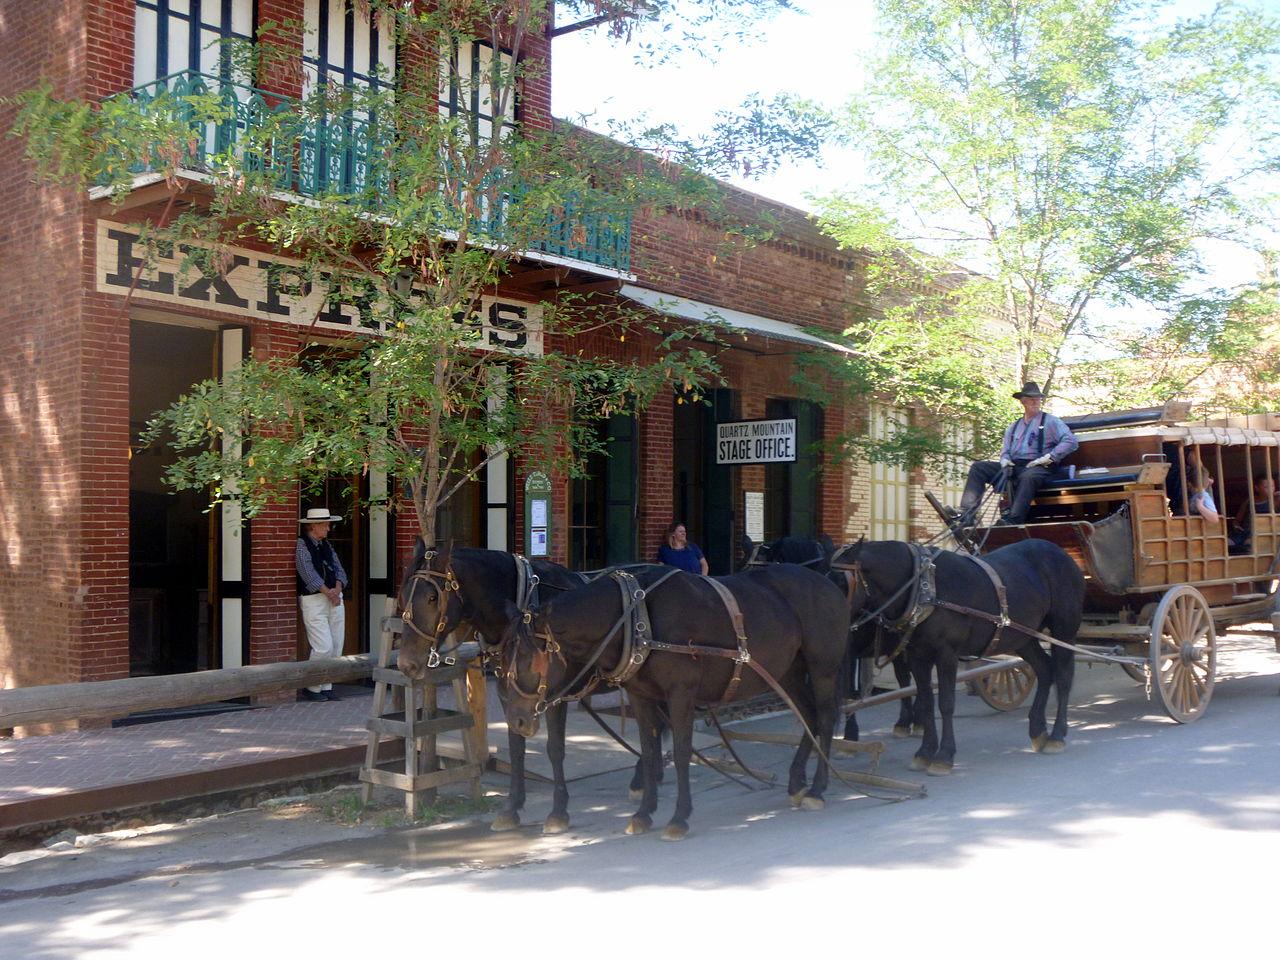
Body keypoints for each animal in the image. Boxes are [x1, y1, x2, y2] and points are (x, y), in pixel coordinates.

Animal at [399, 545, 604, 839]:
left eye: (431, 597)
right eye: (404, 596)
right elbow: (516, 746)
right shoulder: (510, 694)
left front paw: (558, 813)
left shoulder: (554, 695)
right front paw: (511, 809)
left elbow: (555, 748)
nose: (406, 663)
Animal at [499, 563, 849, 839]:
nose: (516, 720)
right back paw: (796, 782)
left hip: (823, 668)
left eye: (530, 660)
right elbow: (649, 749)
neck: (635, 619)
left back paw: (817, 789)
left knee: (825, 717)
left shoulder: (681, 692)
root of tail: (829, 583)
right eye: (505, 657)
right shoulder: (641, 695)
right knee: (808, 715)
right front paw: (643, 813)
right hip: (788, 672)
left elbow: (681, 752)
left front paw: (679, 818)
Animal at [742, 535, 921, 742]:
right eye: (742, 568)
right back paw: (907, 721)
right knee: (904, 677)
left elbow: (846, 693)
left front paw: (850, 732)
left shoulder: (846, 655)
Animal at [844, 542, 1085, 773]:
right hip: (1023, 638)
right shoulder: (917, 656)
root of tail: (1062, 554)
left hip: (1063, 631)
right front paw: (924, 752)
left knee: (1063, 677)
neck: (924, 588)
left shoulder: (947, 654)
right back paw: (1038, 731)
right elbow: (927, 702)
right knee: (1045, 670)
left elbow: (946, 704)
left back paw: (1056, 735)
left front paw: (944, 756)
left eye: (843, 581)